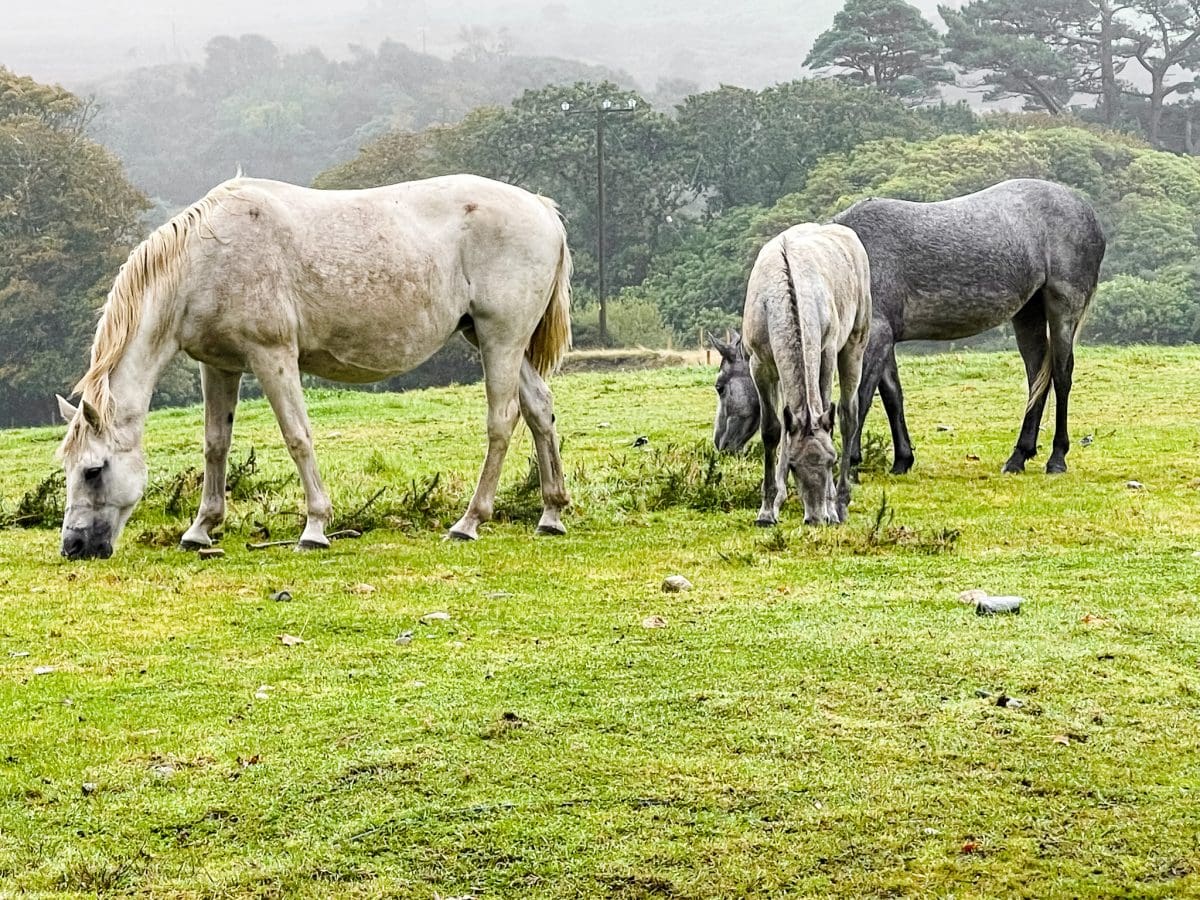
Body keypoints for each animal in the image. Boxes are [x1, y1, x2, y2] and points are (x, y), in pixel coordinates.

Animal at [58, 172, 573, 561]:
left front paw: (314, 527)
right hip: (494, 340)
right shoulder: (220, 366)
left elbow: (297, 437)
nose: (73, 547)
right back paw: (551, 514)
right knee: (539, 411)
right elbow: (216, 445)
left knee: (502, 421)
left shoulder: (273, 355)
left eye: (93, 470)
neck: (206, 258)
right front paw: (201, 529)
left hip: (500, 338)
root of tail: (541, 208)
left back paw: (469, 521)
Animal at [710, 174, 1104, 472]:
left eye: (720, 387)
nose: (721, 445)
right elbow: (892, 396)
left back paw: (1056, 459)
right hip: (1028, 314)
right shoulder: (885, 340)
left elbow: (861, 399)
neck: (849, 261)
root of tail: (1087, 211)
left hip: (1062, 309)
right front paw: (902, 460)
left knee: (1061, 376)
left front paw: (851, 463)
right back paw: (1018, 457)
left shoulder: (874, 339)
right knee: (1038, 376)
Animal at [734, 222, 868, 528]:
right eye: (794, 465)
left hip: (855, 342)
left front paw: (831, 508)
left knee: (849, 415)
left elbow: (825, 407)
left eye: (831, 460)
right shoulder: (759, 364)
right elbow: (773, 430)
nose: (816, 517)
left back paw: (841, 503)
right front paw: (768, 509)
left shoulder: (826, 350)